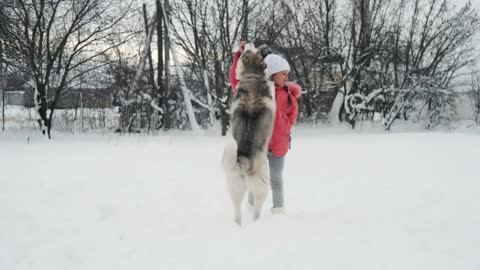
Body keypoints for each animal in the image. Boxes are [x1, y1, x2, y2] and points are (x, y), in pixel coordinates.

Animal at [223, 43, 276, 226]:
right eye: (249, 51)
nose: (247, 42)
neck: (252, 75)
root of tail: (242, 160)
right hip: (263, 185)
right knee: (257, 210)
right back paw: (256, 222)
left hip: (234, 188)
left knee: (236, 210)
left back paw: (238, 225)